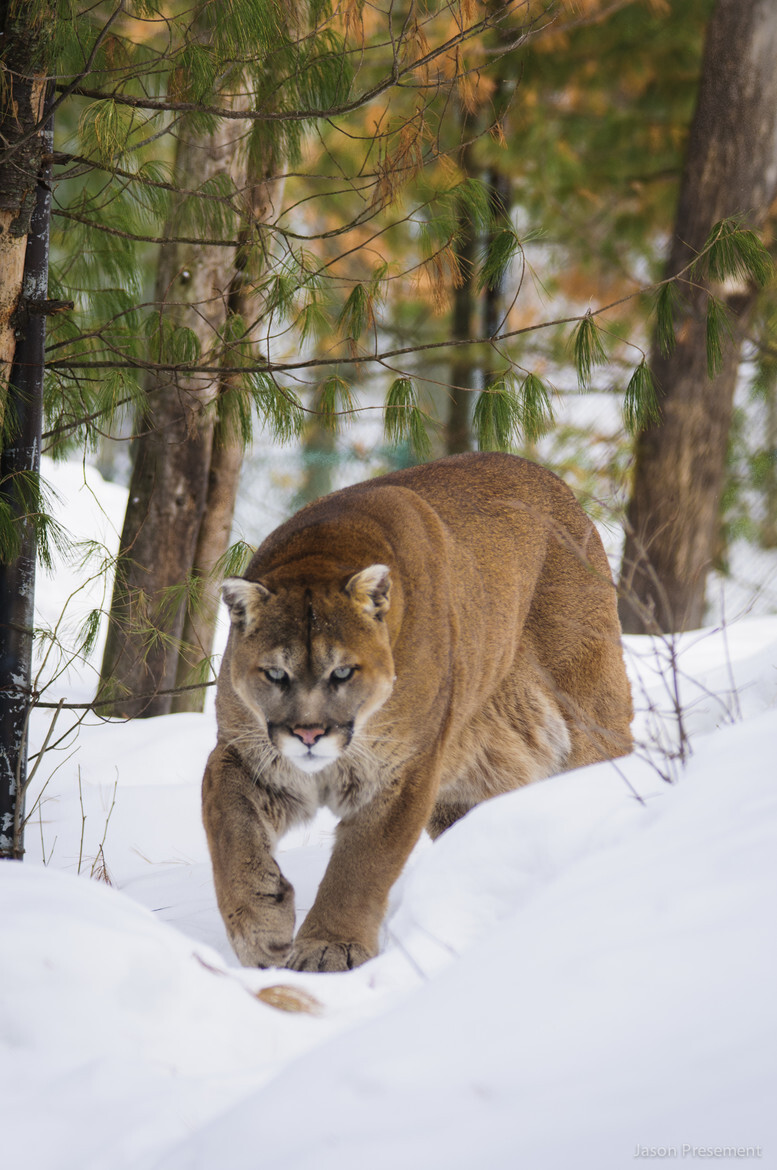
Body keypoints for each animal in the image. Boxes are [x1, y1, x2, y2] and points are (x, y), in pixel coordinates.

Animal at [203, 451, 636, 973]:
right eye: (274, 674)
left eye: (343, 672)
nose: (308, 734)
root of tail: (552, 480)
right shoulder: (246, 754)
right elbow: (230, 831)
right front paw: (261, 931)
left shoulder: (402, 769)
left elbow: (362, 864)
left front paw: (329, 948)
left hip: (587, 710)